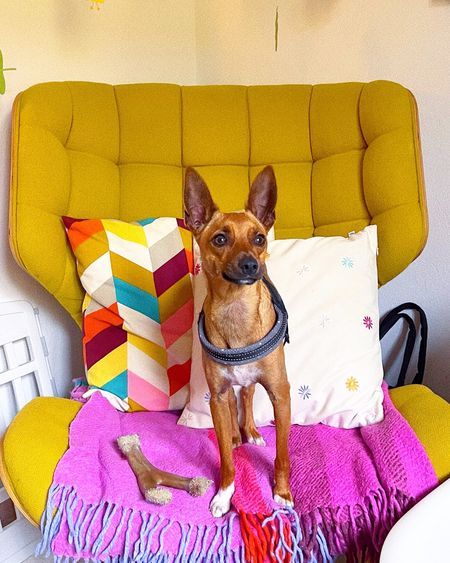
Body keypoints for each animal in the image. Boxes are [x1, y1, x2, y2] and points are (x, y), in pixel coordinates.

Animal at [183, 165, 292, 516]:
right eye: (220, 239)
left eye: (259, 238)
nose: (251, 264)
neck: (236, 309)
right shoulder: (216, 395)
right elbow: (226, 459)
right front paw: (225, 493)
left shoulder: (281, 395)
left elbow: (282, 455)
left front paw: (282, 492)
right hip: (224, 390)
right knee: (235, 402)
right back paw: (234, 434)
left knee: (247, 394)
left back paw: (252, 432)